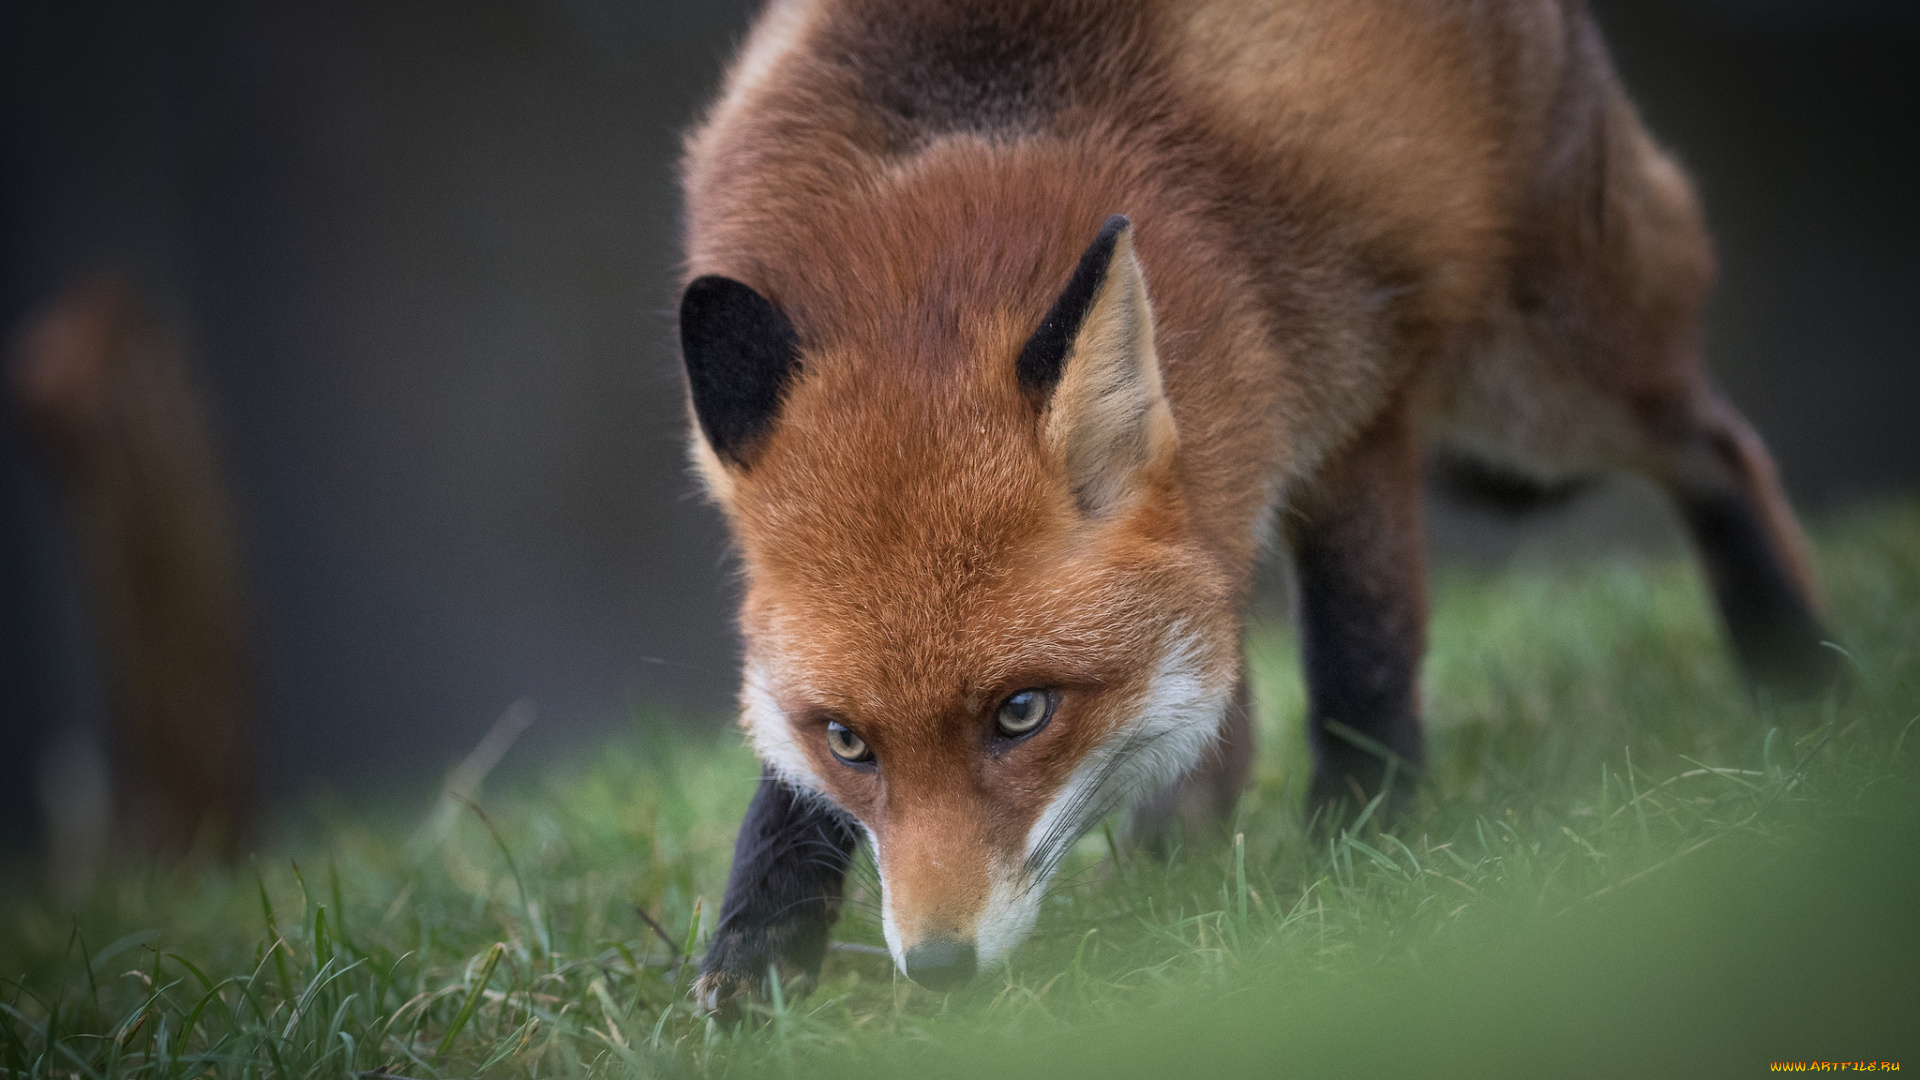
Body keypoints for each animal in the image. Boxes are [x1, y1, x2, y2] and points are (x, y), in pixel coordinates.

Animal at [672, 0, 1827, 1006]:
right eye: (848, 741)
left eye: (1021, 712)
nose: (939, 969)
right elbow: (785, 792)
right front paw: (758, 949)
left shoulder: (1356, 401)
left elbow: (1362, 656)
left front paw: (1363, 854)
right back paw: (1167, 858)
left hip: (1535, 379)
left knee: (1719, 446)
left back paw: (1802, 672)